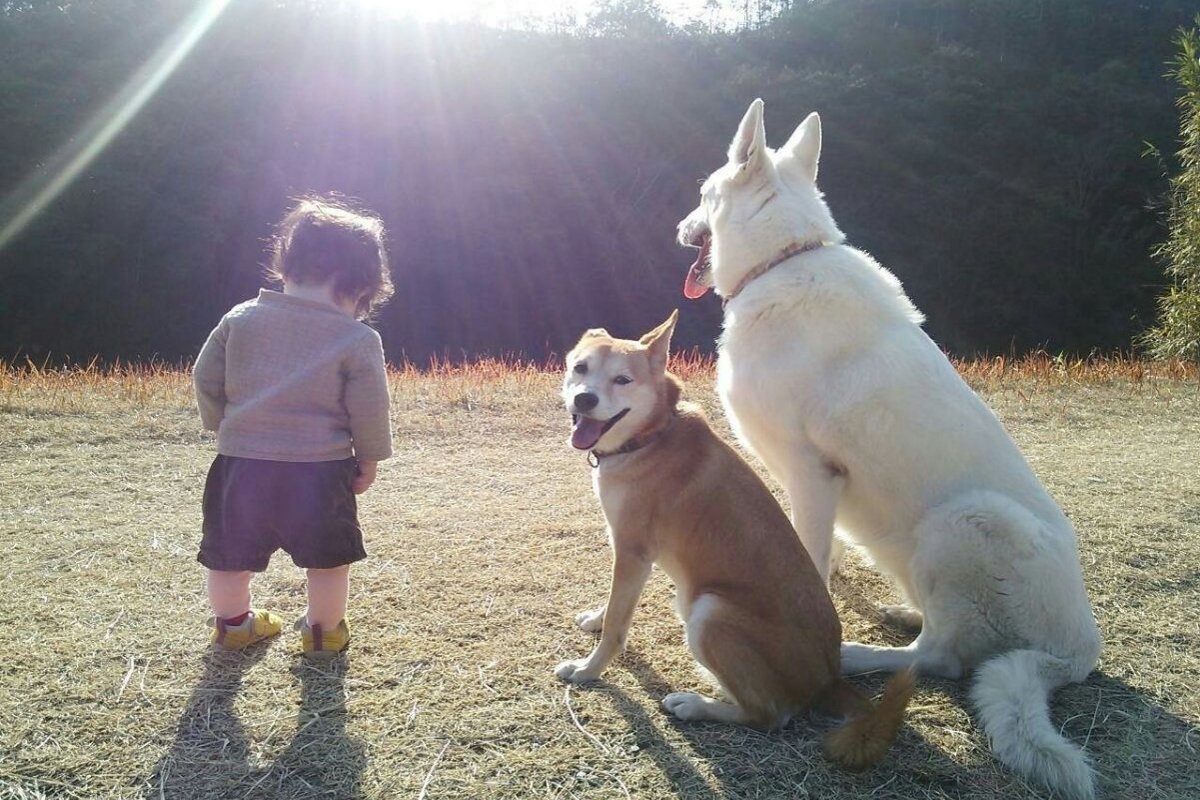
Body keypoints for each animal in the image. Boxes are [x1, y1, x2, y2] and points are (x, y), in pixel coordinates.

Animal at [556, 311, 912, 767]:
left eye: (622, 379)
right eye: (580, 368)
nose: (584, 399)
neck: (653, 435)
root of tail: (829, 679)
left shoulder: (633, 552)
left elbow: (617, 627)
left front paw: (588, 670)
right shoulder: (631, 556)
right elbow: (613, 606)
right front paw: (595, 619)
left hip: (709, 612)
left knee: (770, 716)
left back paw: (695, 705)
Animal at [681, 100, 1099, 800]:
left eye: (703, 192)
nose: (678, 228)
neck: (783, 261)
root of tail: (1080, 652)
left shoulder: (812, 473)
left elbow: (811, 561)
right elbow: (817, 561)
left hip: (965, 522)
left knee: (942, 658)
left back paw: (862, 653)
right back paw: (902, 614)